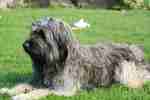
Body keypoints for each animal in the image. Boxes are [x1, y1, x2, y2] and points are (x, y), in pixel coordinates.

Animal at [0, 16, 150, 99]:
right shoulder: (38, 80)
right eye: (32, 32)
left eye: (42, 34)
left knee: (138, 83)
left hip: (124, 68)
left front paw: (22, 96)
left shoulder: (63, 87)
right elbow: (23, 84)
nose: (24, 45)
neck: (53, 62)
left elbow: (41, 91)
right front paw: (8, 90)